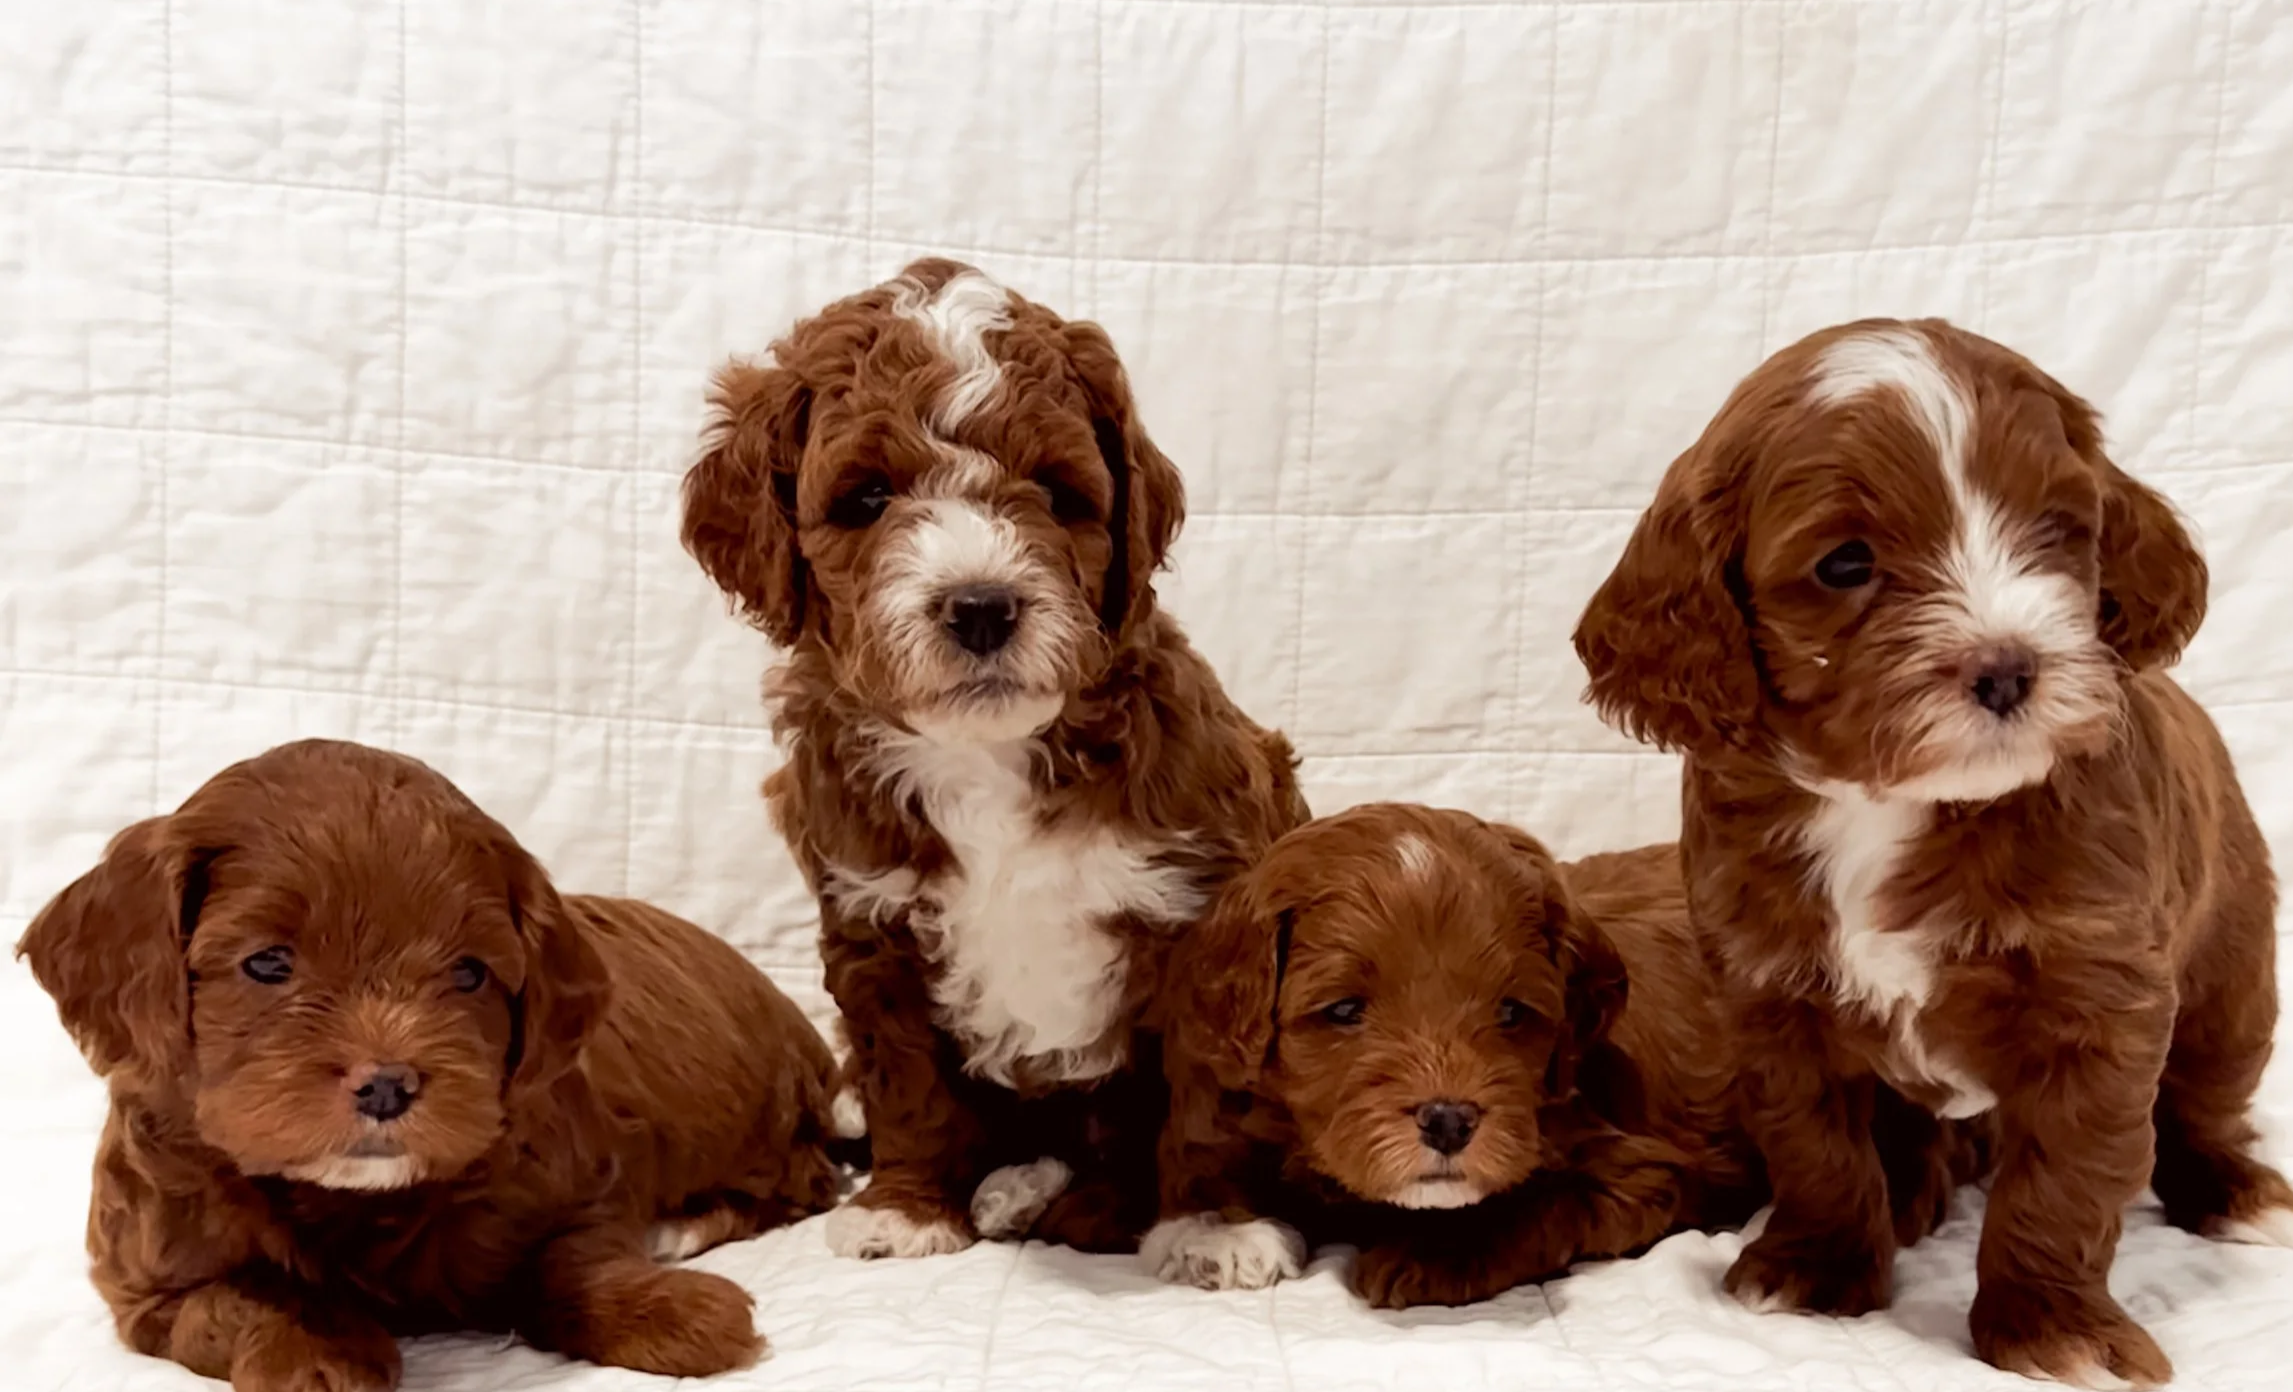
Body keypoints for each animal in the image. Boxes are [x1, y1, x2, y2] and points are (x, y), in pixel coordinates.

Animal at [17, 739, 850, 1390]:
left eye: (469, 973)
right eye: (267, 964)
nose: (389, 1085)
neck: (349, 1201)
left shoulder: (576, 1180)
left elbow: (574, 1260)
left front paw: (672, 1310)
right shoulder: (146, 1282)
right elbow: (238, 1295)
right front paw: (321, 1347)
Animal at [680, 258, 1306, 1259]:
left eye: (1057, 492)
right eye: (866, 499)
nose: (980, 606)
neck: (987, 755)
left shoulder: (1202, 914)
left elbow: (1207, 1097)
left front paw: (1213, 1226)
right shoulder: (875, 928)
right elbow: (906, 1086)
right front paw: (903, 1209)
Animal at [1146, 803, 1771, 1308]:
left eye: (1511, 1012)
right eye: (1344, 1010)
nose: (1449, 1121)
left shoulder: (1642, 1169)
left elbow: (1538, 1203)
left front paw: (1435, 1252)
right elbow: (1202, 1159)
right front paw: (1222, 1235)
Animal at [1573, 318, 2291, 1388]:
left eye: (2056, 528)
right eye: (1845, 565)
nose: (2007, 668)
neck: (1893, 803)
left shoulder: (2099, 998)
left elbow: (2066, 1176)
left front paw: (2051, 1327)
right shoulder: (1769, 995)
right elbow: (1814, 1143)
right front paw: (1818, 1266)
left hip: (2231, 970)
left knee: (2204, 1098)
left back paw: (2235, 1190)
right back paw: (1909, 1193)